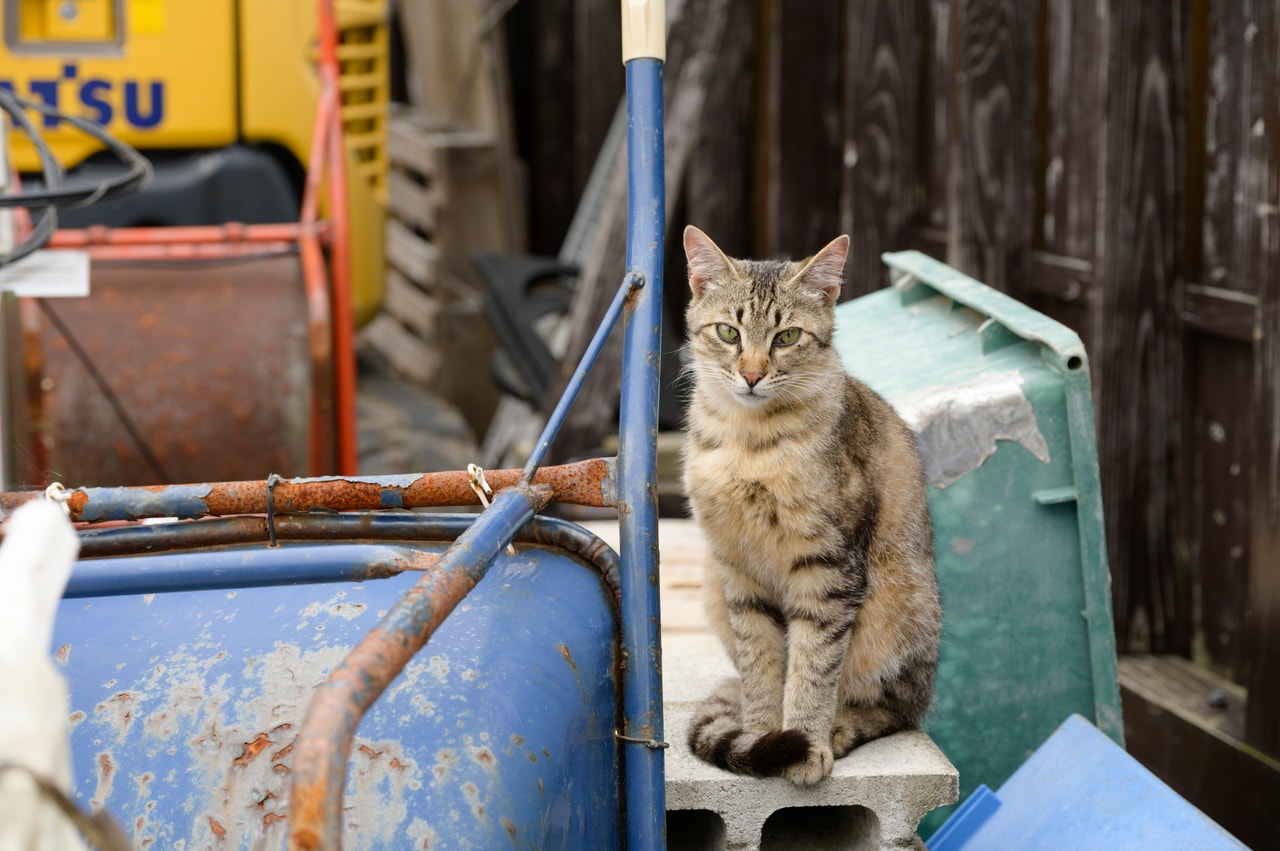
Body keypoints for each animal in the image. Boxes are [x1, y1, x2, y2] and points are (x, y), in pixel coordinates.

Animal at [680, 223, 942, 783]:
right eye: (729, 333)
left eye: (787, 337)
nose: (752, 375)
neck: (749, 443)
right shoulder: (737, 569)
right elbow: (760, 665)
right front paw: (763, 735)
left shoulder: (828, 569)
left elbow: (813, 667)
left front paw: (806, 743)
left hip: (897, 616)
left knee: (898, 708)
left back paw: (841, 728)